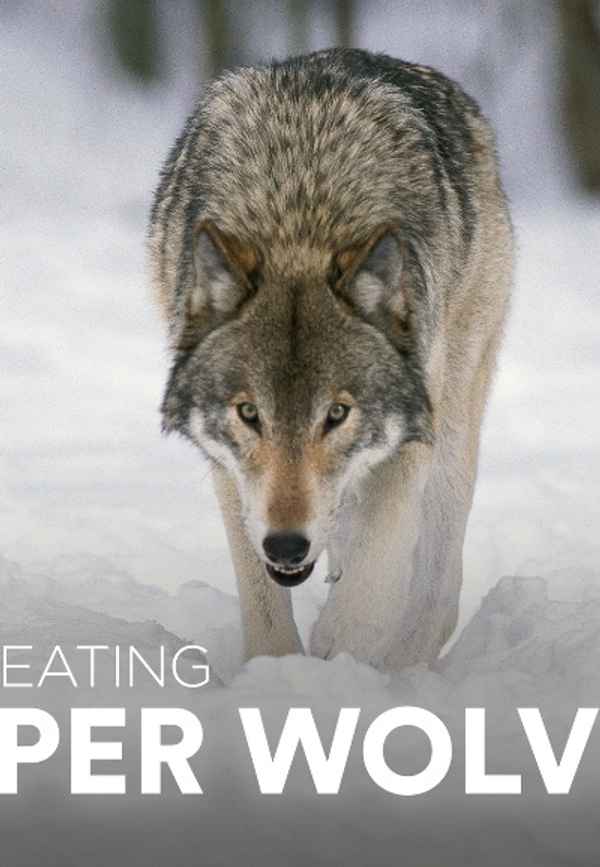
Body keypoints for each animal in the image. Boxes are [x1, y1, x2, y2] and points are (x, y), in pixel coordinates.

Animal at [148, 48, 513, 671]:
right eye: (250, 414)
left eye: (337, 414)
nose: (287, 543)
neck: (300, 217)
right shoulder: (232, 471)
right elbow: (264, 606)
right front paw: (277, 673)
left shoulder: (410, 440)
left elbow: (369, 590)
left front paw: (337, 664)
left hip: (455, 419)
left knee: (437, 589)